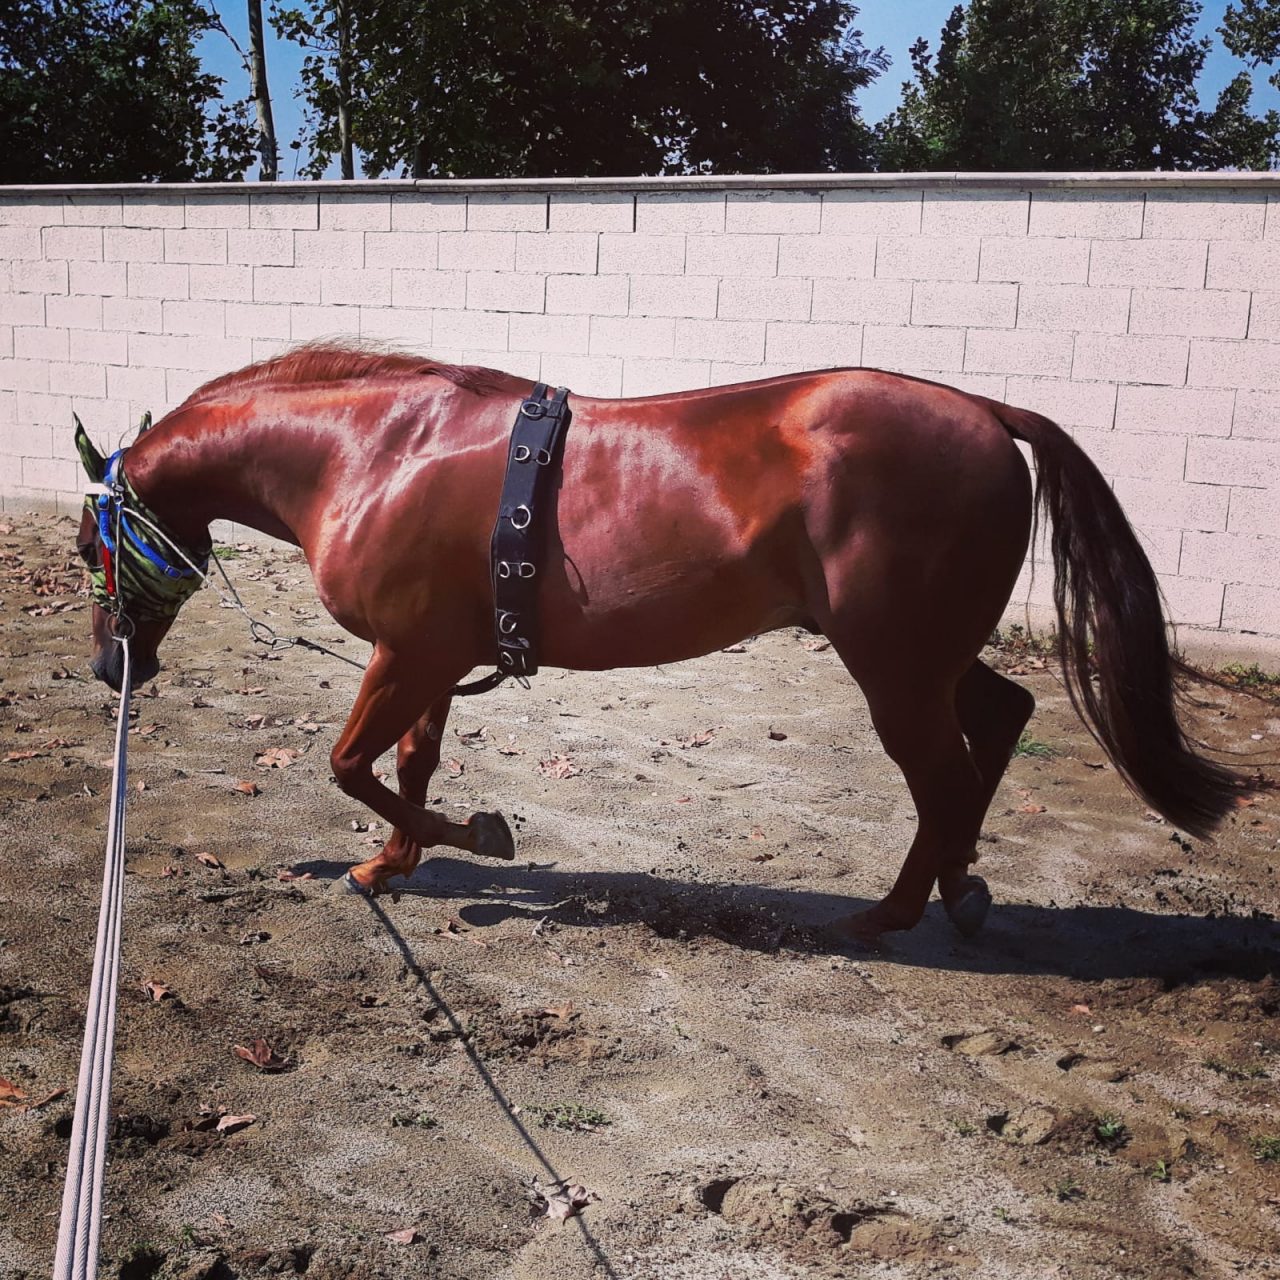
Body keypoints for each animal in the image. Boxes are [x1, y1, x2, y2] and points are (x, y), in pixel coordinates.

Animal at [74, 343, 1247, 944]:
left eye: (94, 540)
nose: (110, 663)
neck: (376, 450)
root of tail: (985, 410)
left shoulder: (405, 655)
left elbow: (351, 762)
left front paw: (479, 837)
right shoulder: (430, 655)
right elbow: (406, 763)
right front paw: (390, 862)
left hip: (892, 663)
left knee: (945, 776)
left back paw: (897, 910)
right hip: (926, 655)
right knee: (998, 721)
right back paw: (953, 890)